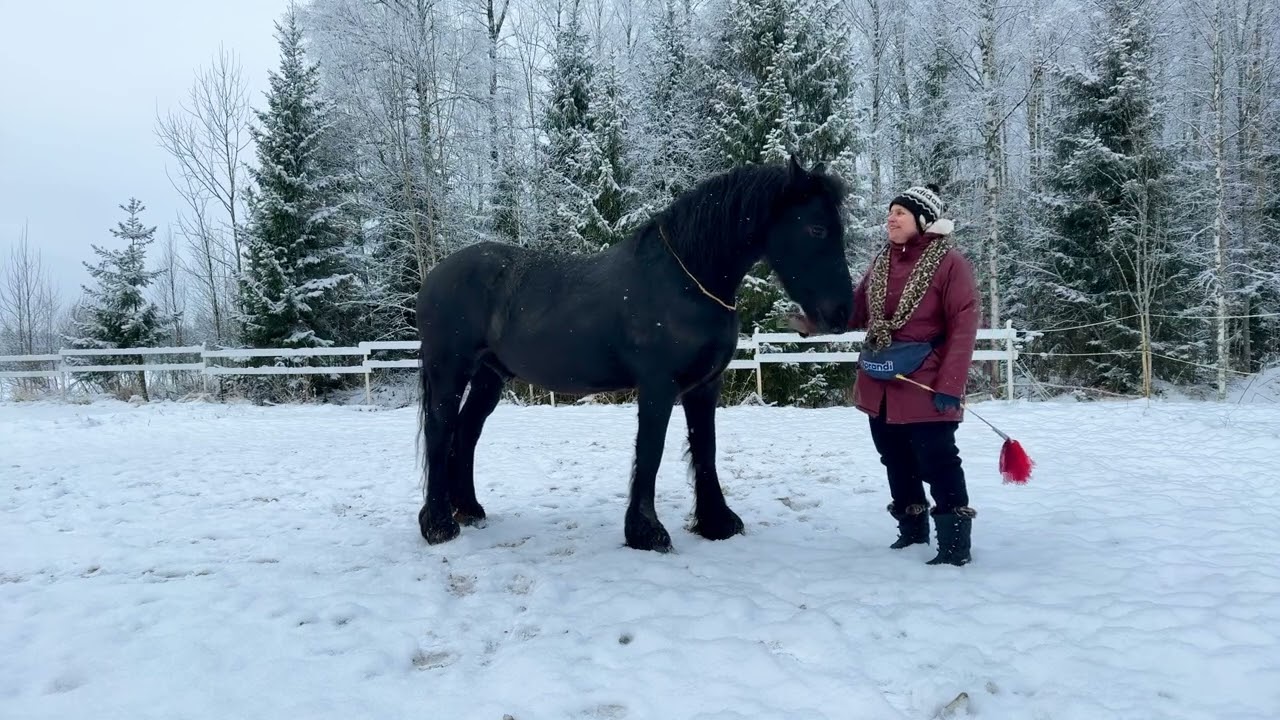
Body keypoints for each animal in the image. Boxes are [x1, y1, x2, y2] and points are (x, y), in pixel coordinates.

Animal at [414, 154, 854, 552]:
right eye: (816, 228)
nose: (841, 312)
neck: (686, 279)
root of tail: (436, 275)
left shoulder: (705, 387)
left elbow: (705, 449)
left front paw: (716, 523)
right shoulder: (658, 386)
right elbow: (650, 450)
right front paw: (647, 532)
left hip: (490, 375)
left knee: (467, 431)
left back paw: (469, 509)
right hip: (449, 370)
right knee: (440, 431)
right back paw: (438, 525)